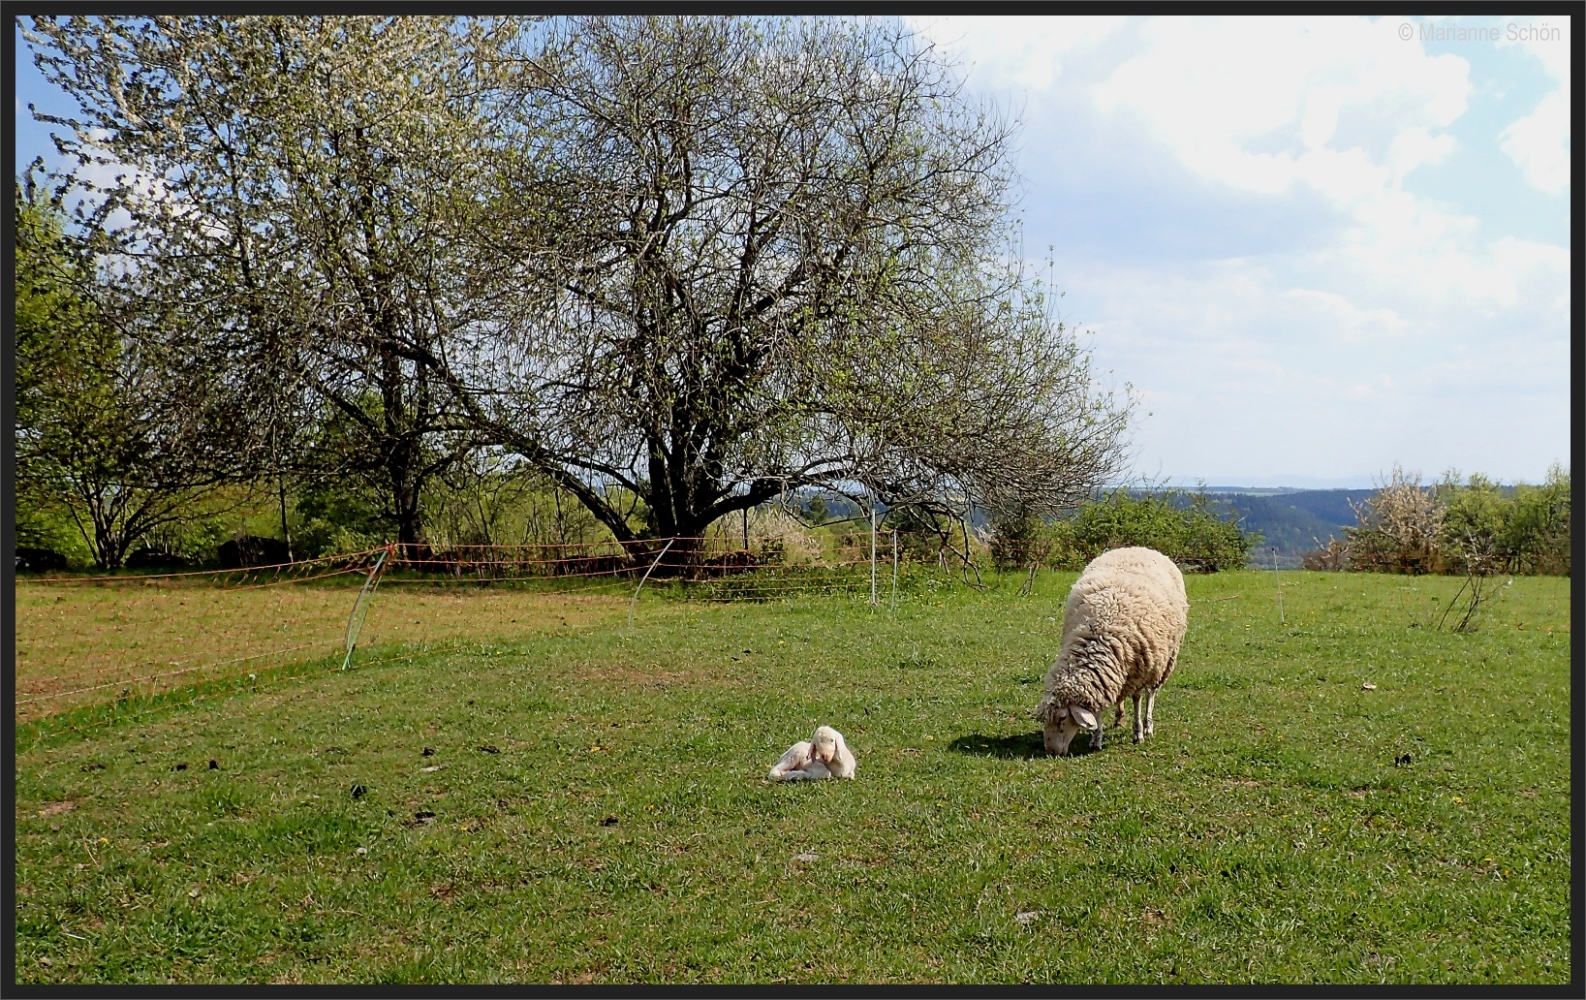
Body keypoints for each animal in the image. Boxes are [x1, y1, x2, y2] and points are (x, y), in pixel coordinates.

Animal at [1034, 551, 1186, 754]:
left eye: (1062, 719)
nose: (1051, 751)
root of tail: (1138, 547)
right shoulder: (1105, 677)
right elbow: (1097, 711)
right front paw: (1096, 738)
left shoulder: (1139, 670)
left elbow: (1137, 699)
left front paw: (1138, 733)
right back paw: (1119, 716)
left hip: (1163, 661)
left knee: (1151, 693)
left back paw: (1148, 726)